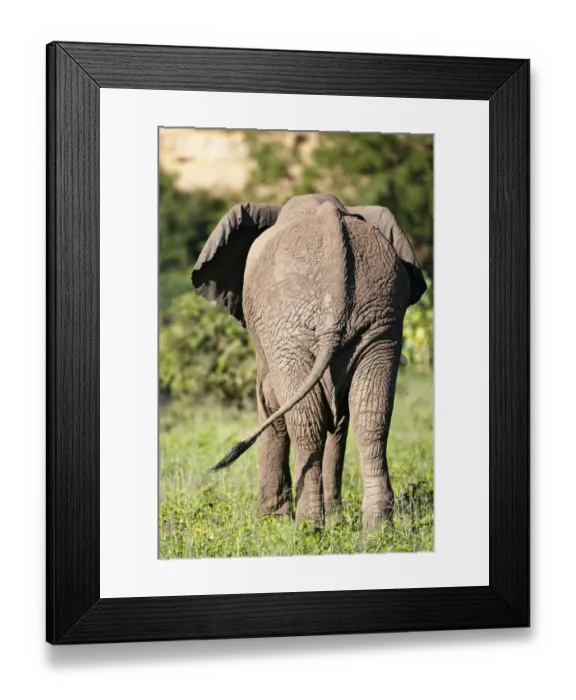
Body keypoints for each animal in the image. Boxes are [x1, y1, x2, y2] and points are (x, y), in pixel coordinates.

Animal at [192, 193, 427, 532]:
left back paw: (307, 529)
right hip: (380, 319)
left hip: (290, 325)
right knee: (370, 415)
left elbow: (271, 404)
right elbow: (339, 420)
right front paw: (337, 524)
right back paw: (377, 531)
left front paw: (270, 523)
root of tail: (331, 217)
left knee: (307, 420)